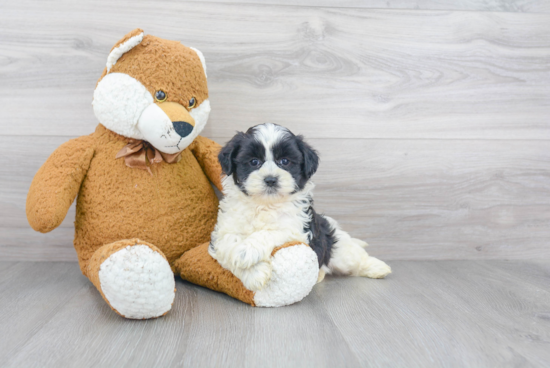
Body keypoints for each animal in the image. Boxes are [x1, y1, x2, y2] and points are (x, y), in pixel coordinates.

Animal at [208, 125, 392, 292]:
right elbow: (228, 246)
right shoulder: (221, 233)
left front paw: (247, 250)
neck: (265, 204)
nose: (270, 179)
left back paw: (378, 268)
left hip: (337, 249)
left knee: (354, 258)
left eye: (285, 161)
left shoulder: (297, 229)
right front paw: (254, 273)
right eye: (254, 162)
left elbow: (270, 232)